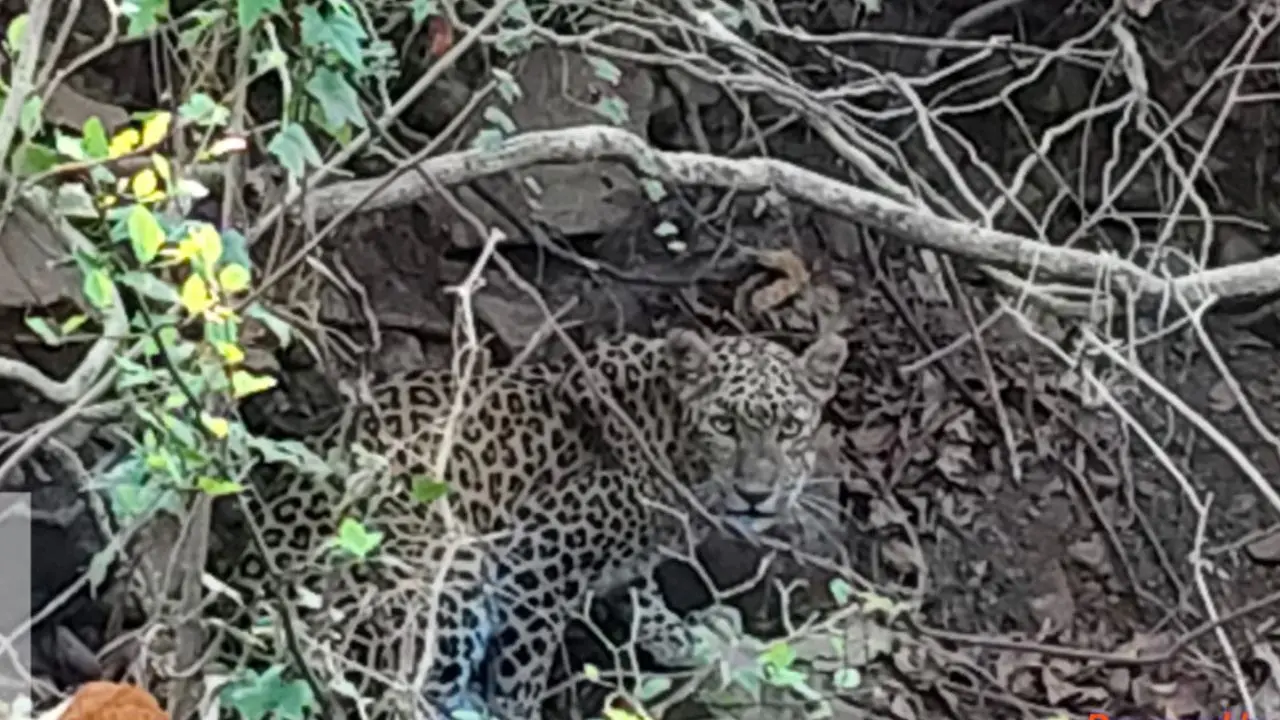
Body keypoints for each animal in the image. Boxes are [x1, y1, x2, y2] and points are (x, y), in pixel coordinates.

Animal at [218, 327, 848, 720]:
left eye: (790, 428)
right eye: (723, 424)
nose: (756, 495)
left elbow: (641, 592)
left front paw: (679, 637)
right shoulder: (537, 562)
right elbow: (523, 666)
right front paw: (517, 709)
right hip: (449, 567)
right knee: (399, 697)